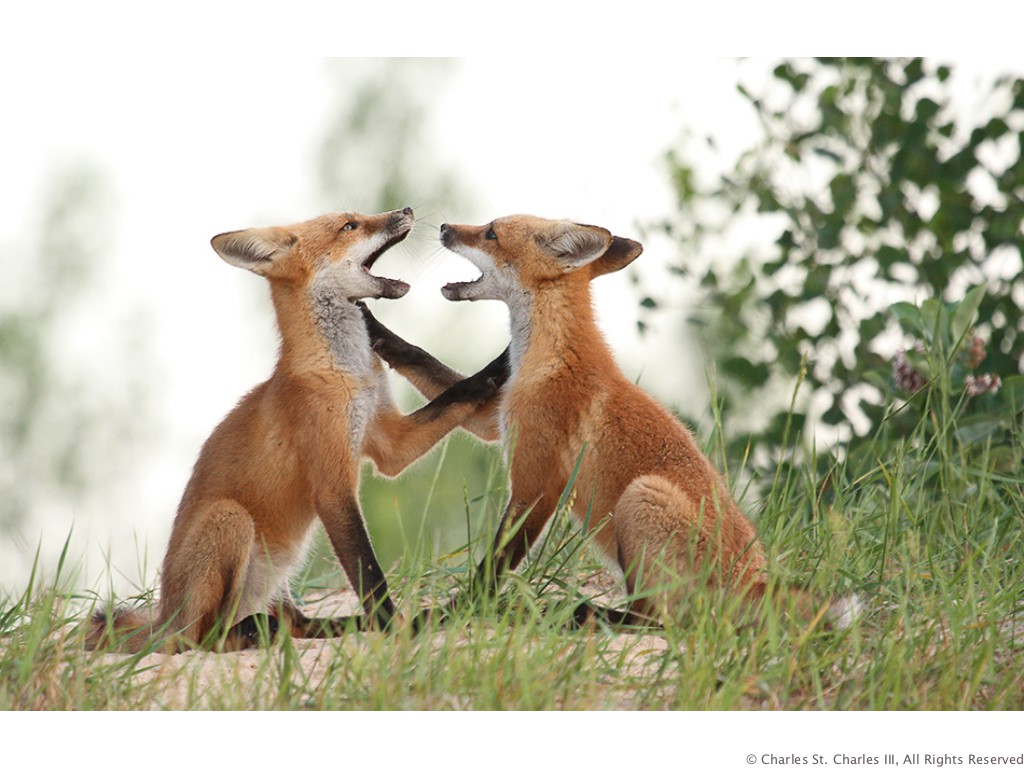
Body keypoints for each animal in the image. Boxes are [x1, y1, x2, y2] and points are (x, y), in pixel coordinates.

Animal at [85, 207, 504, 654]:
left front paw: (502, 363)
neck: (344, 373)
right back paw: (247, 633)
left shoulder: (388, 442)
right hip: (230, 521)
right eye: (350, 226)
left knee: (297, 625)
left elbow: (461, 390)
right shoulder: (332, 485)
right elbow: (369, 574)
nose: (405, 211)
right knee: (204, 639)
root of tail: (165, 619)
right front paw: (394, 627)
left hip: (275, 580)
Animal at [373, 214, 858, 629]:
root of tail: (754, 584)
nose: (444, 227)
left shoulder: (538, 481)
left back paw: (578, 614)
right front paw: (376, 331)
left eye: (491, 232)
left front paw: (454, 614)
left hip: (642, 498)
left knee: (657, 620)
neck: (551, 354)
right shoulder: (497, 418)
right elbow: (429, 367)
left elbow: (493, 565)